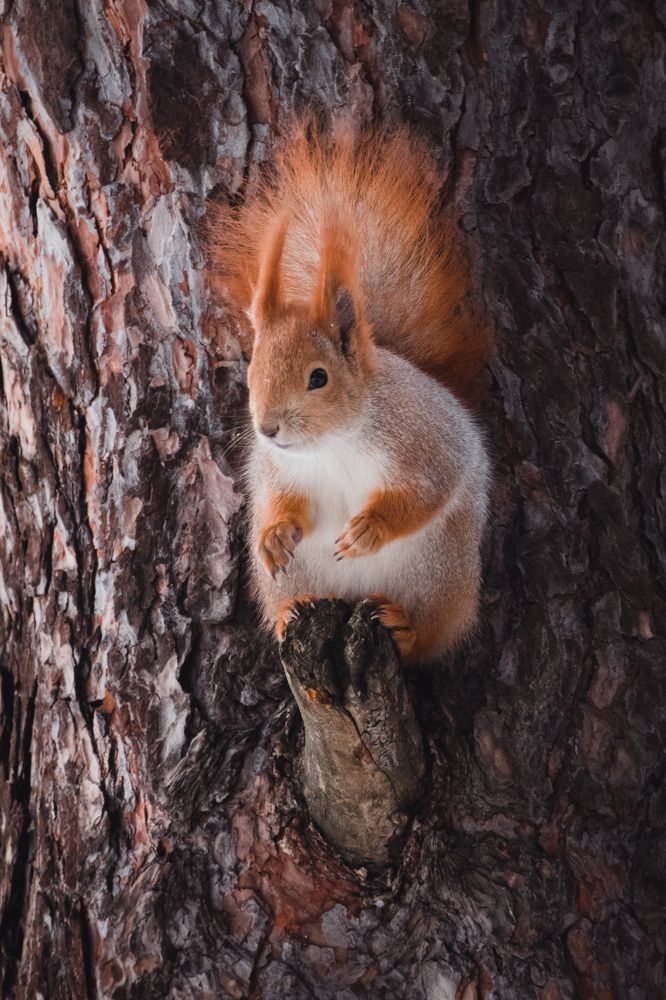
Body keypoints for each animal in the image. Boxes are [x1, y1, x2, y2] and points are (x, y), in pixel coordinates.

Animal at [209, 119, 491, 664]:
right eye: (252, 370)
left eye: (318, 377)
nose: (268, 429)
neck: (333, 443)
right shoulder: (281, 469)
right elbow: (283, 500)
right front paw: (275, 533)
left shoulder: (425, 439)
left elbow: (428, 489)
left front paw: (369, 529)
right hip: (296, 577)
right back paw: (289, 612)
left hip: (437, 570)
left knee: (429, 634)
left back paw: (404, 628)